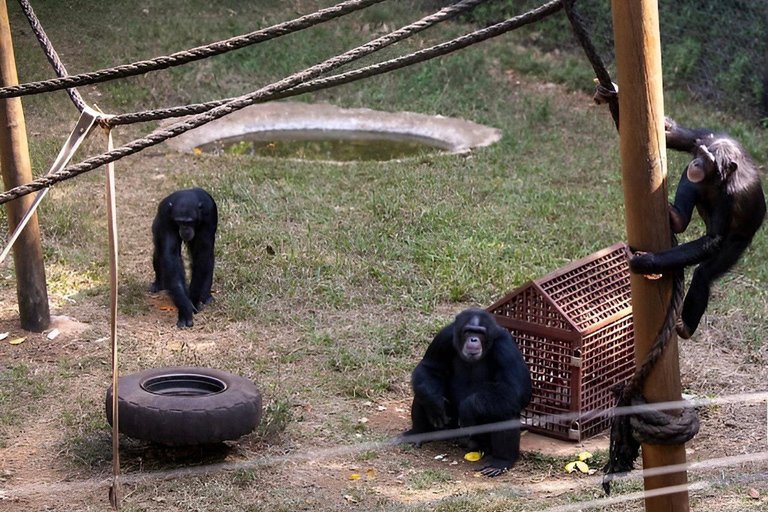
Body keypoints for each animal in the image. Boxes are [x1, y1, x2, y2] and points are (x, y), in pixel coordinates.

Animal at [150, 188, 218, 328]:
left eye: (189, 222)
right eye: (179, 222)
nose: (185, 230)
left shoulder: (209, 214)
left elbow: (203, 253)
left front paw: (193, 298)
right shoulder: (165, 217)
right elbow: (171, 256)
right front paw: (185, 306)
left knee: (208, 256)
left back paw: (205, 296)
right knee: (159, 251)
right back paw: (158, 283)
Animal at [404, 308, 532, 476]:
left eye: (480, 333)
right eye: (468, 331)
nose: (473, 339)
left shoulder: (506, 347)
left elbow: (516, 388)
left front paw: (468, 408)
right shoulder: (444, 336)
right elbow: (430, 368)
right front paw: (435, 403)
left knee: (505, 412)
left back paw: (500, 461)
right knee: (422, 392)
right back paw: (418, 433)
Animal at [628, 118, 764, 338]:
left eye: (708, 160)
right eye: (700, 153)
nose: (697, 163)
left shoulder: (729, 195)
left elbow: (713, 240)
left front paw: (646, 262)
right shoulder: (705, 137)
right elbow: (673, 134)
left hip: (740, 241)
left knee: (704, 274)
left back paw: (686, 327)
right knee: (692, 182)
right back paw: (678, 219)